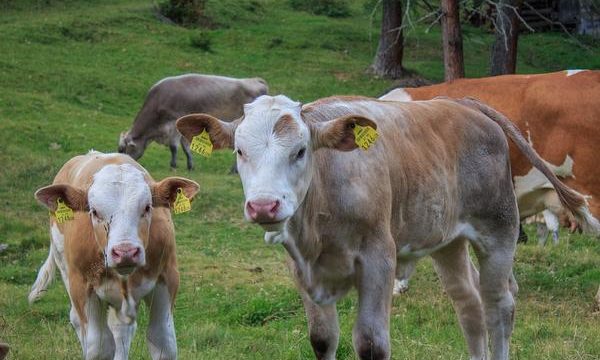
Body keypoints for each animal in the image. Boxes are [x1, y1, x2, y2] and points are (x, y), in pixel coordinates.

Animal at [29, 151, 199, 360]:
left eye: (147, 207)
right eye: (94, 211)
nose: (126, 252)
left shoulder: (167, 278)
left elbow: (161, 340)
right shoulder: (83, 287)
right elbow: (99, 347)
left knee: (120, 329)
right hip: (65, 268)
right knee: (78, 320)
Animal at [118, 74, 268, 171]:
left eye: (124, 150)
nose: (121, 164)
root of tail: (256, 80)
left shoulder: (174, 123)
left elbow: (174, 147)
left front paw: (173, 165)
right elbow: (186, 147)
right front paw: (190, 165)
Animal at [175, 95, 596, 360]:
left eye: (300, 151)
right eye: (239, 151)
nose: (264, 205)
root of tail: (461, 102)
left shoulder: (379, 259)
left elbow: (371, 344)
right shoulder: (301, 269)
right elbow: (322, 339)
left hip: (499, 230)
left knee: (499, 305)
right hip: (448, 241)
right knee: (469, 304)